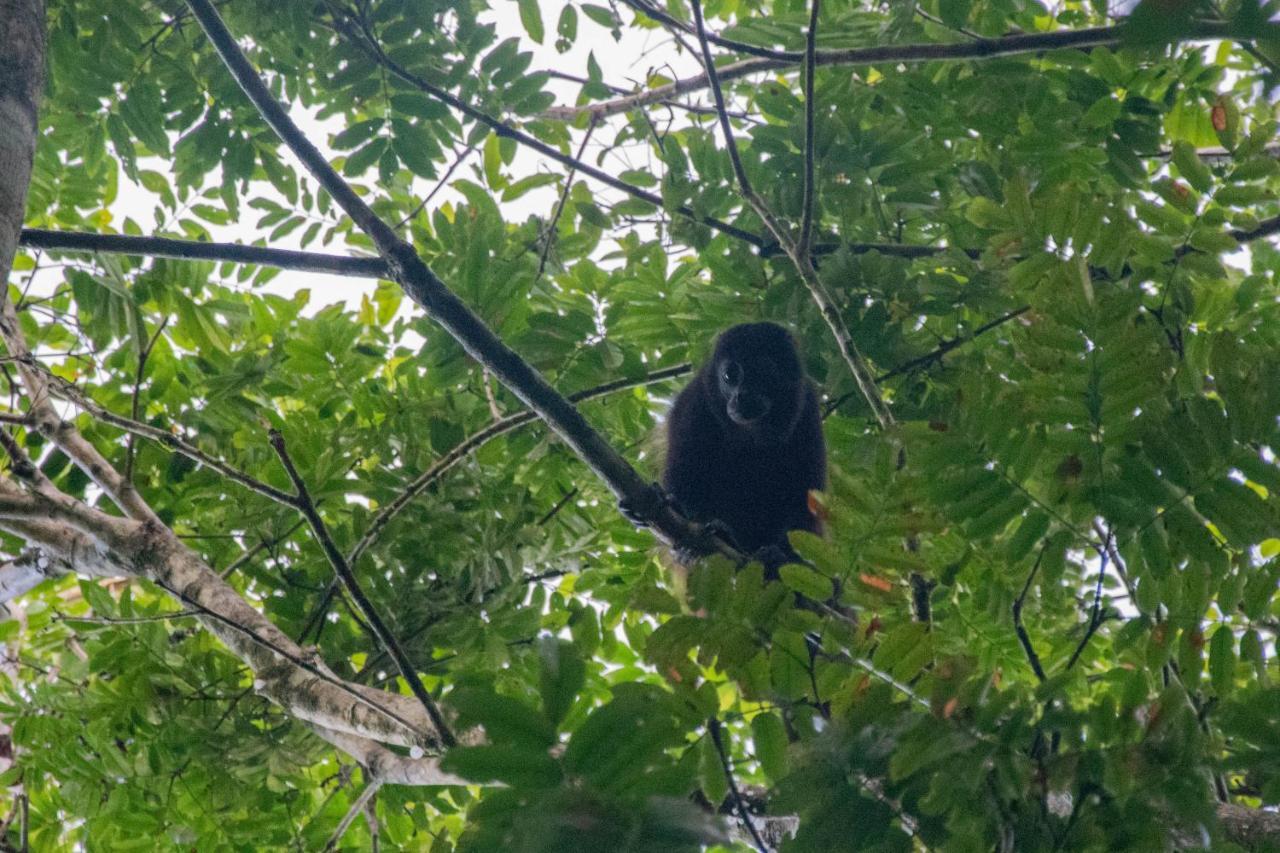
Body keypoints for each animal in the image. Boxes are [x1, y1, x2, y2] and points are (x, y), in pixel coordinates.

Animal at [660, 318, 829, 563]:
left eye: (765, 372)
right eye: (730, 375)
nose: (742, 395)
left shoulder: (807, 408)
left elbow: (804, 497)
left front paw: (782, 554)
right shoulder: (696, 400)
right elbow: (684, 476)